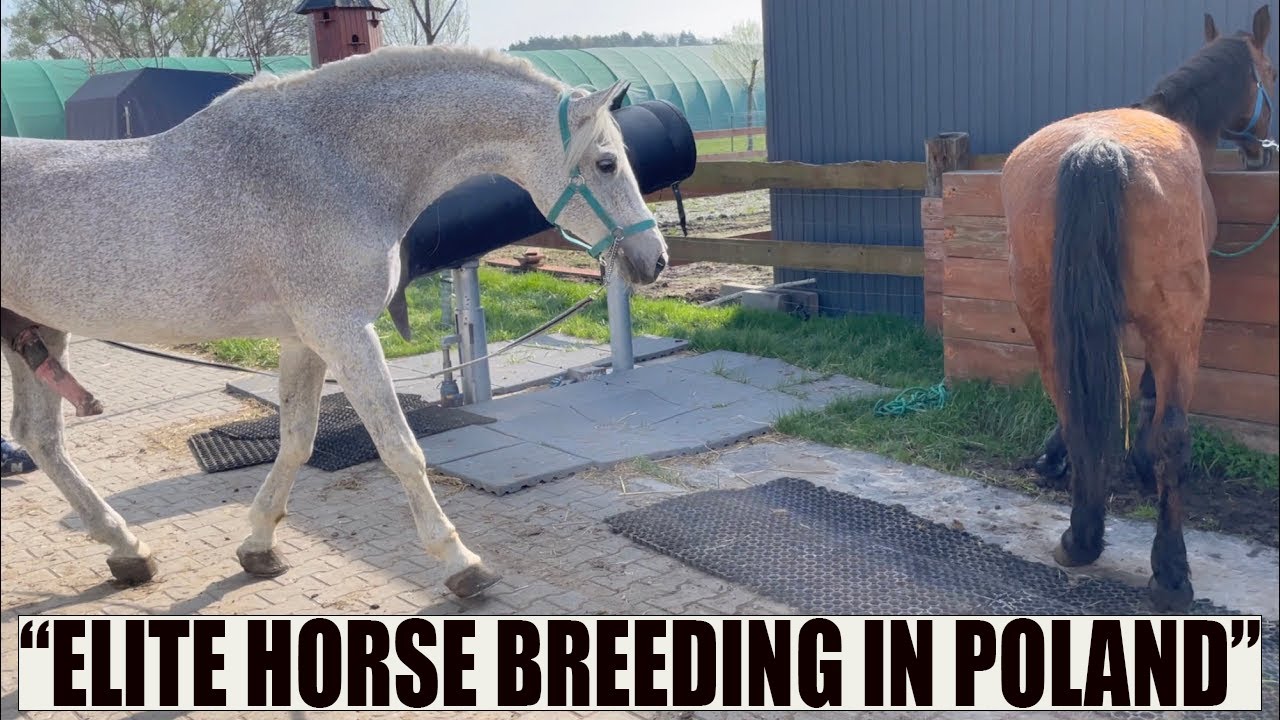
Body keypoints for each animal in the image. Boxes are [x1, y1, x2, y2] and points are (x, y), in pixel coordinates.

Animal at [0, 45, 669, 599]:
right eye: (606, 163)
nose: (655, 259)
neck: (334, 163)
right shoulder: (344, 331)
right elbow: (399, 448)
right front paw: (460, 561)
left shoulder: (306, 338)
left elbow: (297, 439)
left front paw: (258, 545)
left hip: (35, 330)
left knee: (41, 437)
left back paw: (129, 551)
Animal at [1001, 5, 1275, 612]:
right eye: (1269, 70)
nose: (1260, 150)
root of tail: (1097, 150)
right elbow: (1149, 392)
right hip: (1177, 326)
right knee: (1172, 435)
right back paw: (1167, 572)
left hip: (1045, 319)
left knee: (1072, 401)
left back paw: (1083, 533)